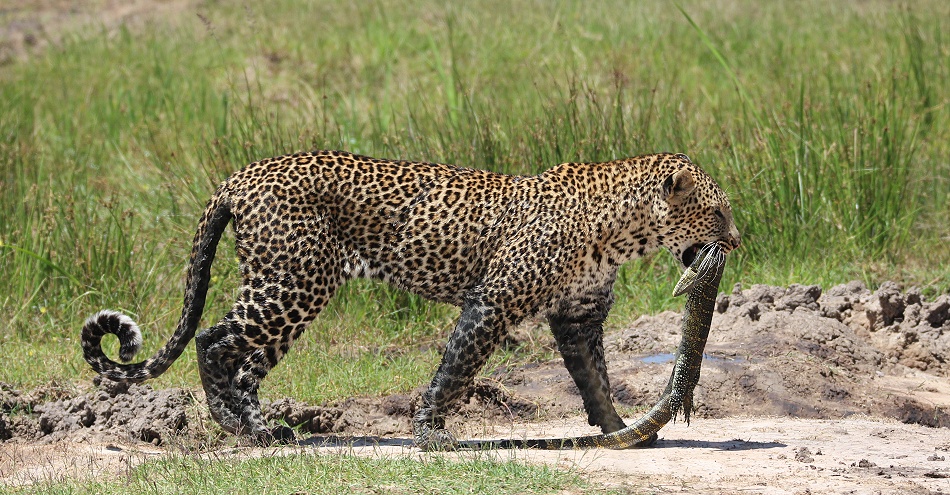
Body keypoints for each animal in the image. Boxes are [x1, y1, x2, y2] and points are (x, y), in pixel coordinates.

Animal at [81, 150, 741, 449]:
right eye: (717, 212)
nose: (736, 240)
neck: (622, 231)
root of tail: (242, 175)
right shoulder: (493, 302)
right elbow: (456, 367)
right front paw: (429, 432)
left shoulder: (577, 316)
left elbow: (595, 378)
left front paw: (621, 431)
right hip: (294, 282)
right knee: (216, 340)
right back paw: (242, 429)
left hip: (288, 288)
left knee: (245, 359)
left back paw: (260, 426)